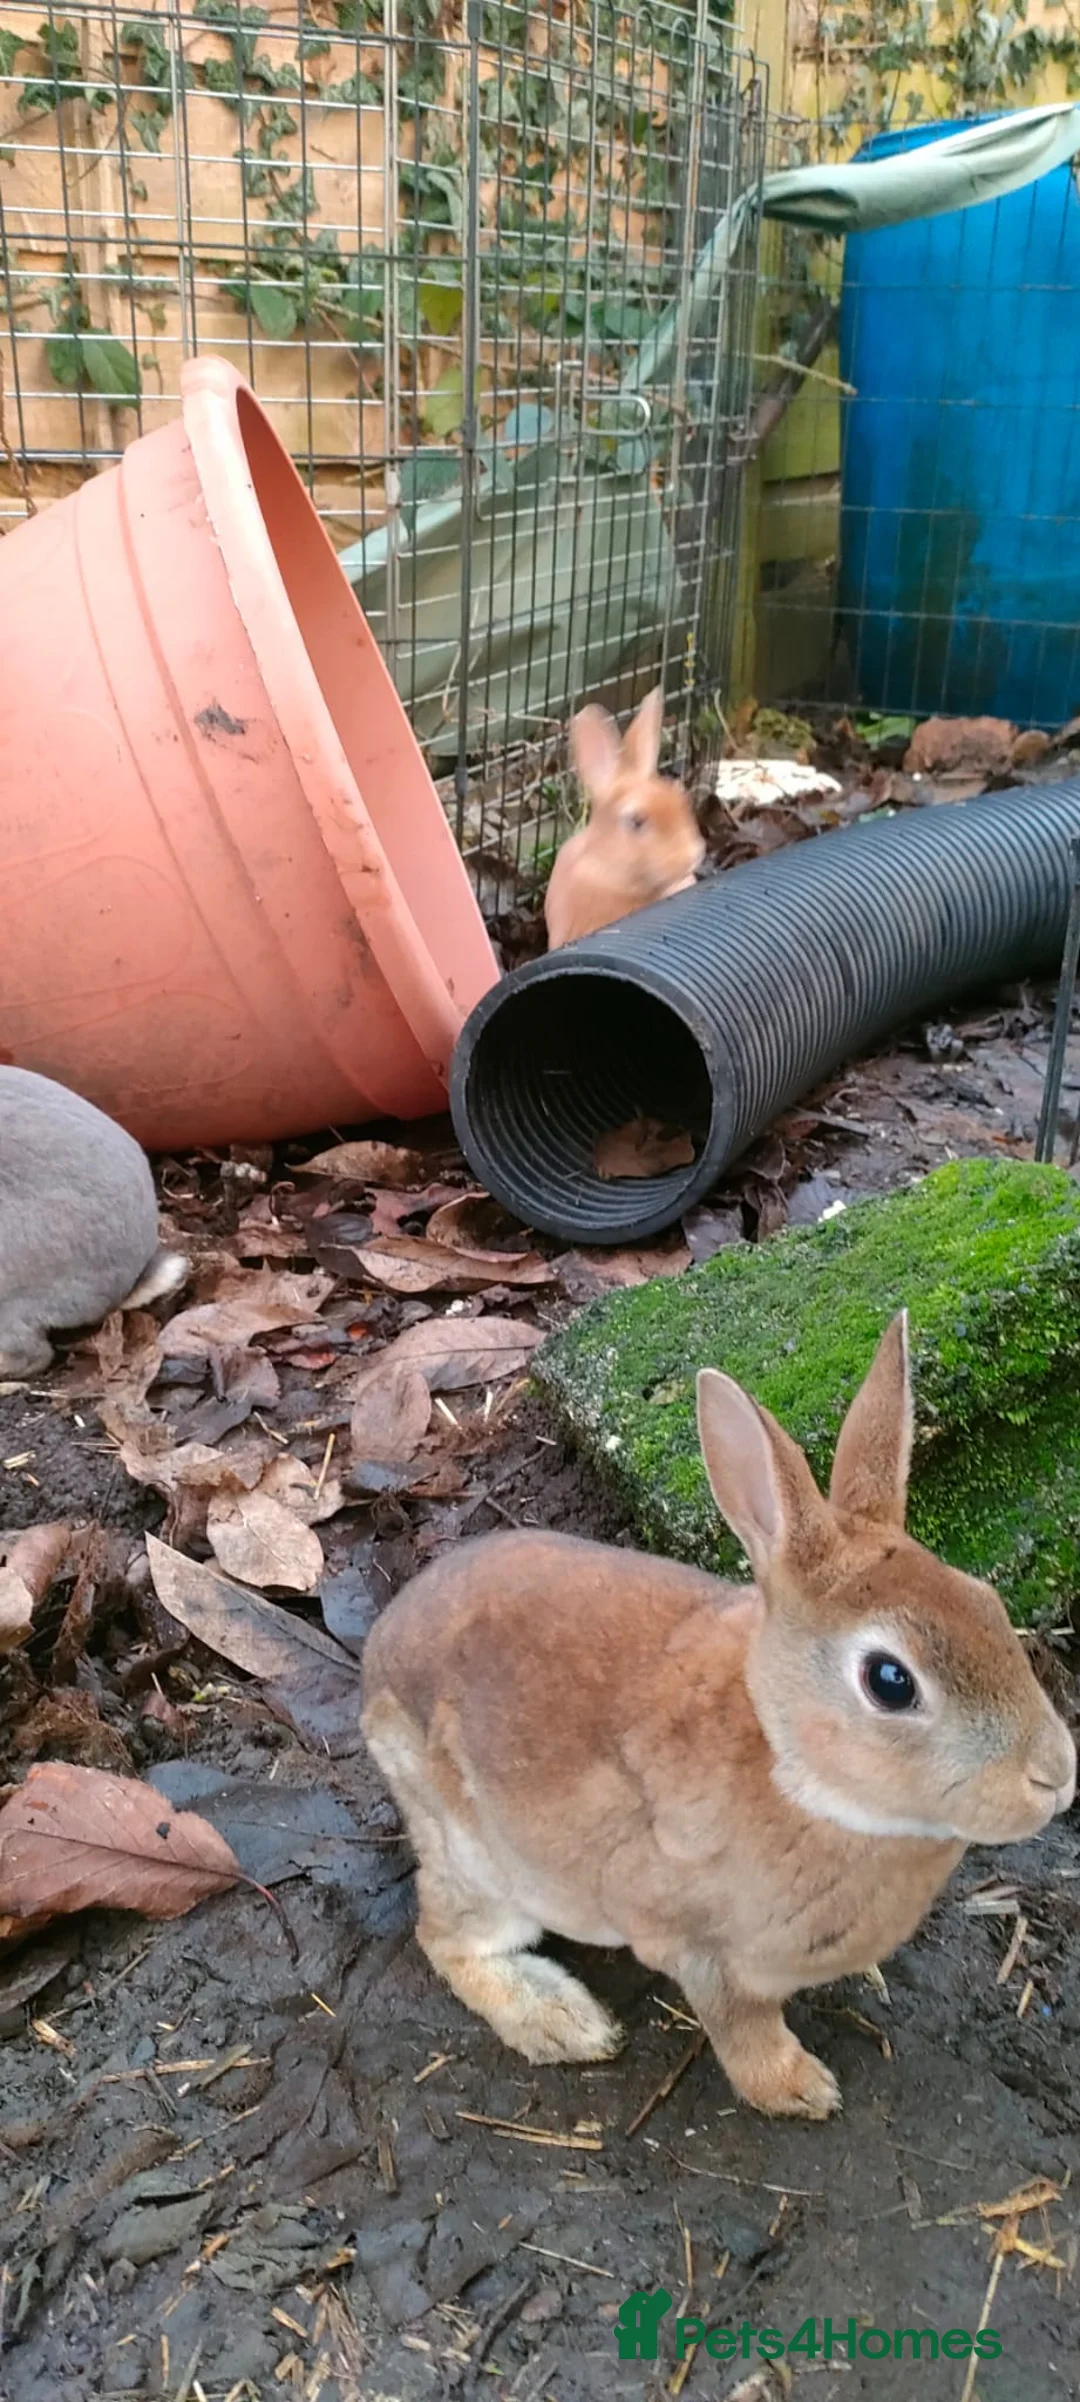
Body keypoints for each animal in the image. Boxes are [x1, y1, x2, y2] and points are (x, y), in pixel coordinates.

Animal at [362, 1313, 1075, 2118]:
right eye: (891, 1682)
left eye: (987, 1601)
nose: (1055, 1776)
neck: (788, 1763)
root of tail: (378, 1656)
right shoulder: (703, 1951)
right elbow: (741, 2026)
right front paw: (799, 2090)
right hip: (484, 1861)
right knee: (445, 1937)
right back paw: (562, 2021)